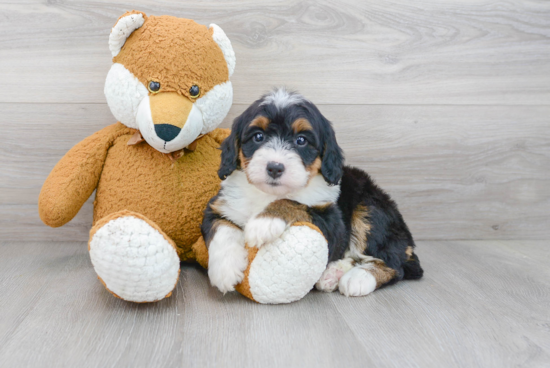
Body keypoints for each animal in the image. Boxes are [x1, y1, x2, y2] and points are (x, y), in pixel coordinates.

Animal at [201, 88, 424, 296]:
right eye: (258, 136)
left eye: (301, 140)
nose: (274, 167)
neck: (267, 194)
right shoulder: (220, 205)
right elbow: (222, 228)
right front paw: (225, 269)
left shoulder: (332, 222)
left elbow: (294, 203)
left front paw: (264, 222)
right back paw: (333, 273)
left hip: (370, 208)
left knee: (395, 264)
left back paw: (359, 278)